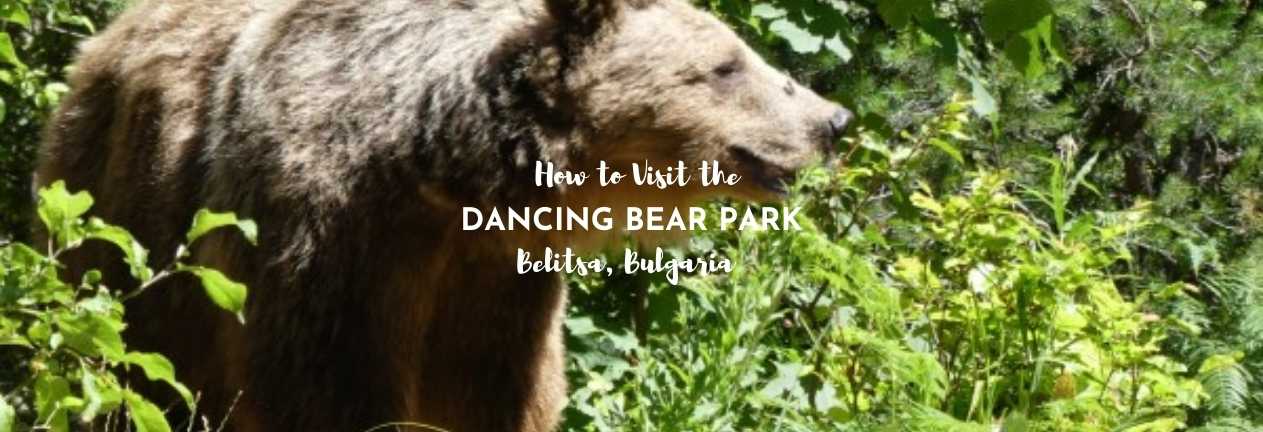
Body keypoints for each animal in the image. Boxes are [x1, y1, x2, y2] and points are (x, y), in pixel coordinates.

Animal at [34, 0, 850, 430]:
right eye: (726, 66)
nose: (832, 120)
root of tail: (102, 40)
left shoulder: (499, 282)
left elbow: (499, 392)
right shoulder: (329, 242)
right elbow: (329, 389)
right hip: (112, 213)